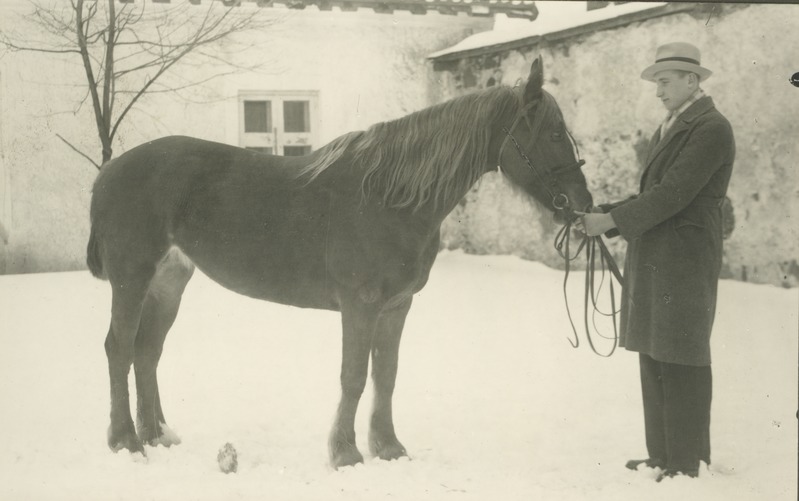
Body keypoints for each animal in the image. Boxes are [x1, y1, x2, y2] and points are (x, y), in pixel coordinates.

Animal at [87, 58, 592, 468]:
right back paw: (126, 441)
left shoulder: (397, 306)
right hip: (132, 278)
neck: (390, 198)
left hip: (169, 280)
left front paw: (388, 447)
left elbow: (385, 376)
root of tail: (109, 171)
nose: (583, 204)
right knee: (118, 348)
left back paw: (158, 435)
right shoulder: (360, 305)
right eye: (552, 133)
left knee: (146, 351)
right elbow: (353, 377)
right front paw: (346, 452)